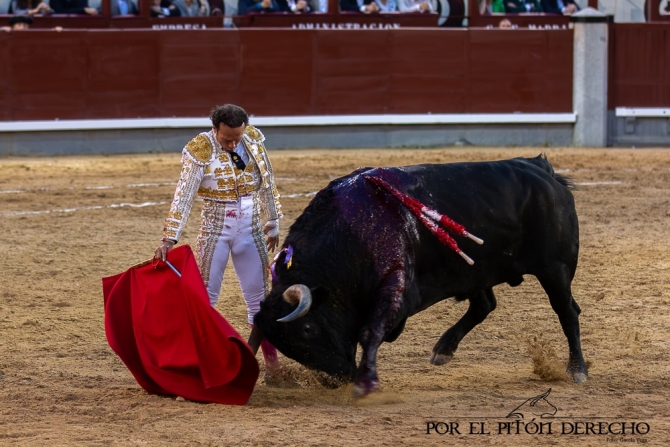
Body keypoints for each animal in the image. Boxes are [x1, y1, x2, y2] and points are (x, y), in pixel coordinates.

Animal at [252, 156, 588, 398]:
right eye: (284, 344)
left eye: (308, 329)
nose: (338, 377)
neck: (348, 233)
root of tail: (542, 169)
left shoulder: (395, 286)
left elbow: (369, 331)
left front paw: (366, 381)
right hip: (473, 269)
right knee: (484, 304)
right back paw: (443, 350)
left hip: (555, 269)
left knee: (567, 311)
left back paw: (578, 369)